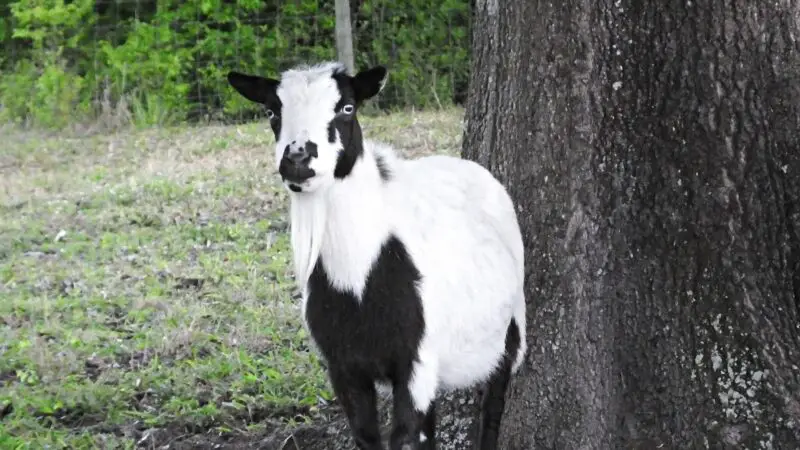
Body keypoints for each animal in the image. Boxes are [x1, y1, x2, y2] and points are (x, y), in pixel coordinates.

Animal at [227, 60, 524, 450]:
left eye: (347, 108)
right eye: (272, 111)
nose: (297, 158)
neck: (357, 278)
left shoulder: (414, 362)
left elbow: (403, 438)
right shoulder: (344, 367)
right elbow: (369, 437)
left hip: (508, 336)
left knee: (491, 410)